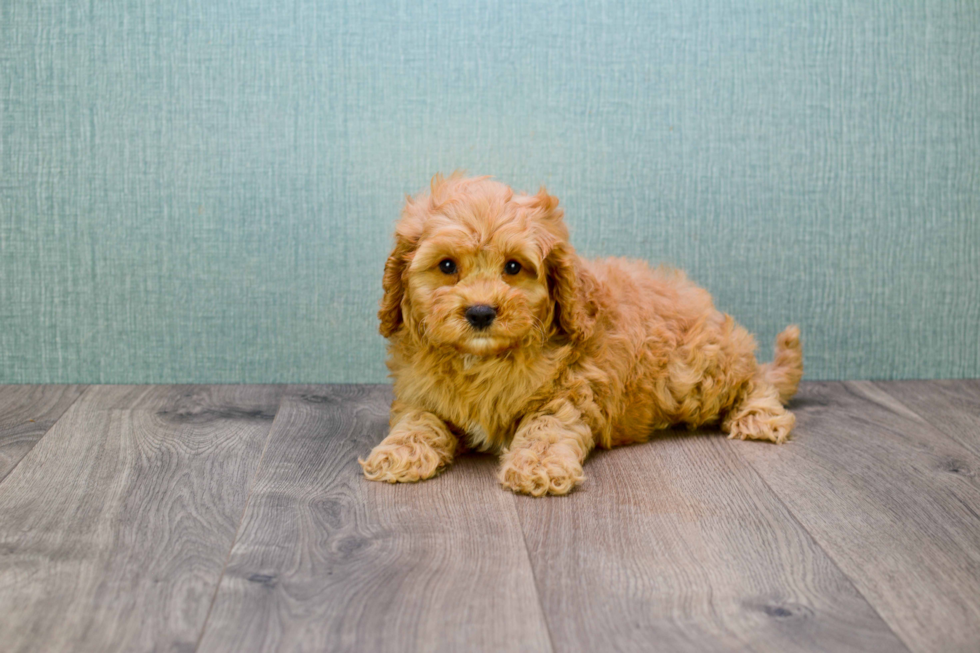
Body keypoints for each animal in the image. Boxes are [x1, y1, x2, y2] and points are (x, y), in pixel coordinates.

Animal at [360, 173, 804, 494]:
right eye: (448, 266)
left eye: (514, 267)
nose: (481, 312)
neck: (483, 359)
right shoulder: (421, 392)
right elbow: (417, 419)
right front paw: (399, 451)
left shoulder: (569, 391)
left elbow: (545, 428)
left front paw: (536, 466)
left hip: (695, 372)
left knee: (754, 377)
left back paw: (758, 415)